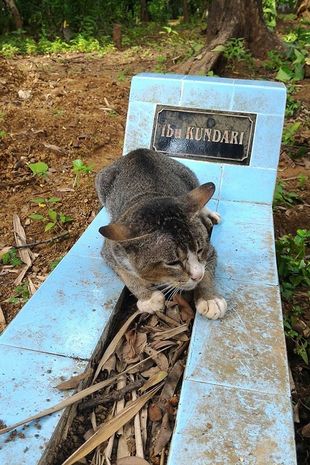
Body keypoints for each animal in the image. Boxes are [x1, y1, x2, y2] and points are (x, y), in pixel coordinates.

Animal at [95, 149, 226, 320]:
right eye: (173, 262)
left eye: (199, 250)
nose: (197, 276)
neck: (150, 197)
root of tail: (137, 151)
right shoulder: (111, 250)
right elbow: (127, 275)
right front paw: (148, 297)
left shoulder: (210, 251)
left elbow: (208, 270)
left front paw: (210, 299)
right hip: (101, 182)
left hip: (188, 174)